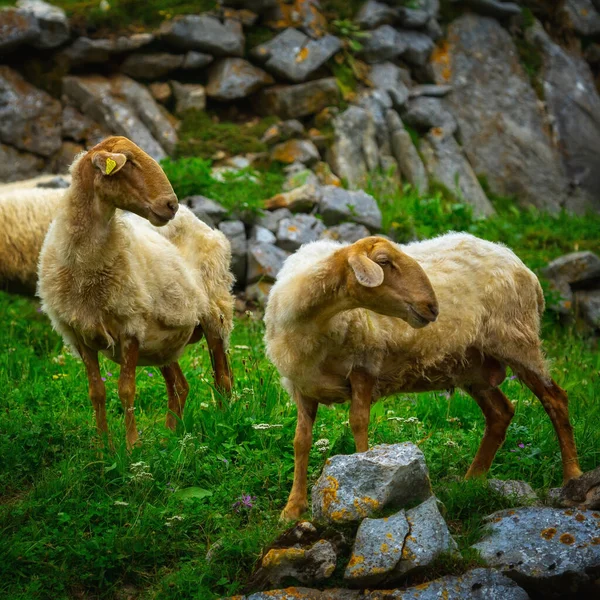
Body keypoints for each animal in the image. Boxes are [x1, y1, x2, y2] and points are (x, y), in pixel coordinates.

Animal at [37, 136, 234, 446]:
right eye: (129, 162)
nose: (171, 204)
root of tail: (194, 218)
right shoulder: (80, 334)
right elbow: (97, 392)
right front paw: (104, 447)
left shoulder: (130, 327)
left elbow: (126, 390)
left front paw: (131, 447)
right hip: (164, 340)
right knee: (179, 385)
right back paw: (169, 437)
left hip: (216, 313)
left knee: (222, 379)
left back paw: (223, 424)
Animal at [264, 234, 592, 520]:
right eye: (383, 261)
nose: (433, 307)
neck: (315, 320)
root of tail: (519, 263)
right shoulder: (300, 386)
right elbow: (301, 440)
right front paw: (293, 508)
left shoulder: (364, 365)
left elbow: (358, 424)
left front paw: (361, 484)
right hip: (473, 366)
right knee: (501, 413)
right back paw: (471, 481)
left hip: (517, 340)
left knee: (555, 399)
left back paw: (572, 477)